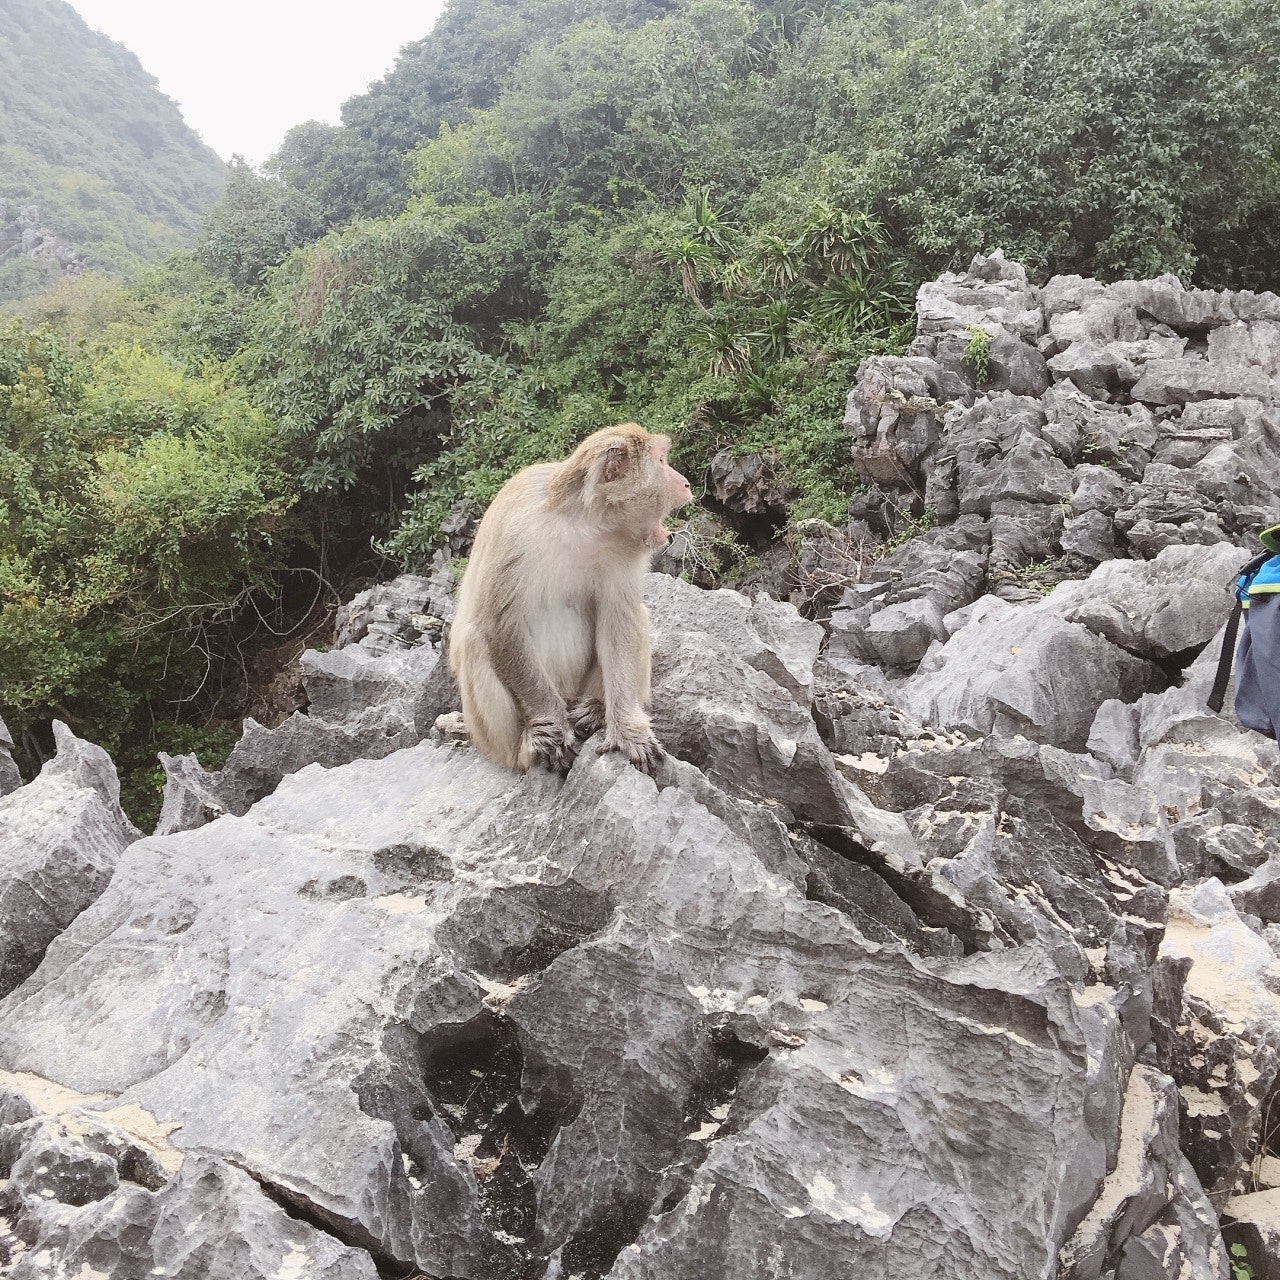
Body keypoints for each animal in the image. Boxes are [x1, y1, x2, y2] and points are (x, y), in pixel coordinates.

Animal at [448, 424, 691, 773]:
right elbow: (499, 623)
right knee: (474, 639)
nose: (686, 483)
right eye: (661, 461)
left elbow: (619, 617)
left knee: (638, 616)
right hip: (491, 736)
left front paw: (628, 731)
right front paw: (553, 727)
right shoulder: (514, 529)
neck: (581, 523)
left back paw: (594, 708)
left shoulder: (624, 552)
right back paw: (525, 747)